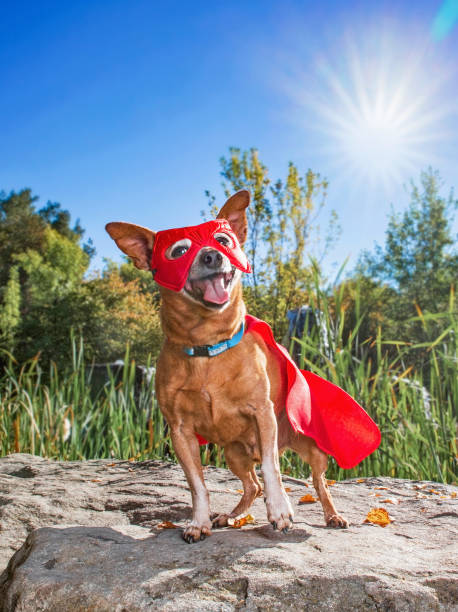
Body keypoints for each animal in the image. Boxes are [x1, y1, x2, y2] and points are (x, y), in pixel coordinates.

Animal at [106, 190, 380, 540]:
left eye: (223, 240)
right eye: (178, 251)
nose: (212, 256)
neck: (209, 348)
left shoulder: (262, 415)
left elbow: (272, 468)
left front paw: (280, 511)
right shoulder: (180, 432)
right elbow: (198, 485)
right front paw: (199, 522)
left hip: (312, 449)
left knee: (318, 484)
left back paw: (332, 516)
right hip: (233, 453)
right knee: (251, 486)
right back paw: (228, 517)